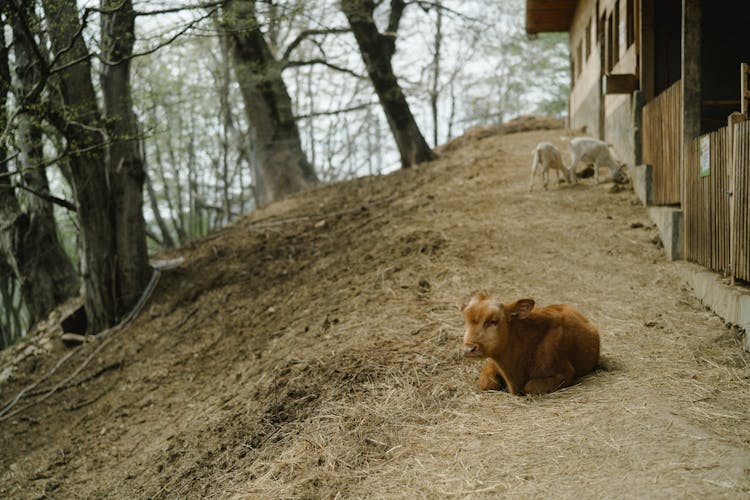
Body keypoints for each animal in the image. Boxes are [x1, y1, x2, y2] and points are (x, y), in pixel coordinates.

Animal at [462, 292, 604, 394]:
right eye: (466, 321)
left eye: (493, 321)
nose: (468, 349)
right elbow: (486, 383)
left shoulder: (566, 372)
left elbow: (530, 386)